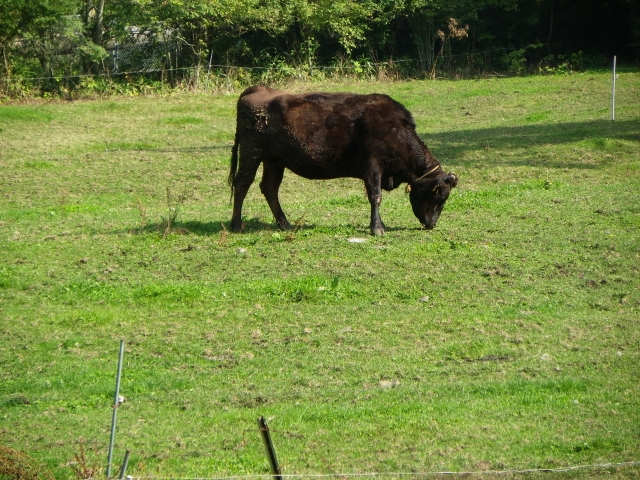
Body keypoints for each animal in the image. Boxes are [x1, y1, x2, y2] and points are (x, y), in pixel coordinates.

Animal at [228, 85, 458, 236]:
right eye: (438, 196)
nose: (431, 224)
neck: (397, 131)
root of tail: (260, 89)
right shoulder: (373, 167)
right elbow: (375, 196)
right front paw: (377, 228)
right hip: (251, 153)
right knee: (242, 184)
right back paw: (236, 224)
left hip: (274, 160)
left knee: (269, 187)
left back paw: (284, 224)